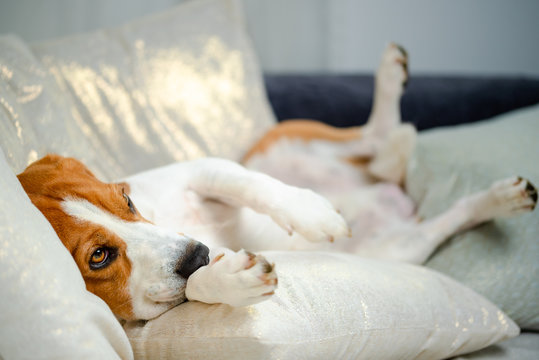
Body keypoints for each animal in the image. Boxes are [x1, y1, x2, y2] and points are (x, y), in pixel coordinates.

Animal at [15, 43, 536, 320]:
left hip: (283, 142)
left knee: (377, 137)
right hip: (399, 251)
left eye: (126, 199)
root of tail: (396, 200)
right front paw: (226, 279)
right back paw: (497, 200)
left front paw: (313, 213)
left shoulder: (202, 167)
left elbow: (253, 186)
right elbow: (195, 288)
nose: (199, 252)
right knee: (448, 212)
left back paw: (390, 93)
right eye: (99, 257)